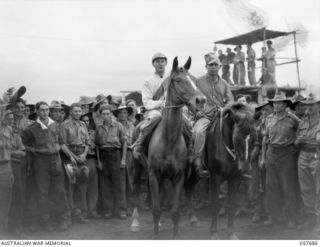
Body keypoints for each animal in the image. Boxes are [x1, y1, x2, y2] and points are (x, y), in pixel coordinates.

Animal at [129, 57, 205, 238]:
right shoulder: (154, 175)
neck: (169, 140)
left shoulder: (178, 176)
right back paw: (135, 222)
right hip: (136, 169)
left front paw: (175, 233)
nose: (201, 100)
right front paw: (156, 234)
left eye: (193, 78)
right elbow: (156, 210)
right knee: (135, 193)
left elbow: (174, 211)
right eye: (178, 80)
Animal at [206, 102, 256, 239]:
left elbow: (232, 204)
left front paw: (231, 233)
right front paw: (214, 233)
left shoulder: (235, 178)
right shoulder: (215, 177)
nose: (245, 167)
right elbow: (215, 204)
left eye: (254, 139)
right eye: (237, 138)